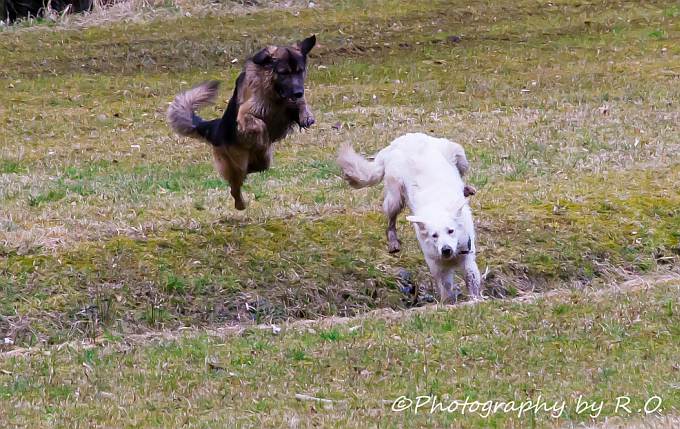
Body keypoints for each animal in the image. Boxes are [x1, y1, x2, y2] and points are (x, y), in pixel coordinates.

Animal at [170, 35, 318, 209]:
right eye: (283, 73)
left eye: (300, 71)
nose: (298, 92)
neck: (274, 94)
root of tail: (215, 128)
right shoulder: (244, 115)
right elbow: (259, 124)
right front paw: (263, 138)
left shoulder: (289, 107)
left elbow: (300, 105)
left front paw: (306, 115)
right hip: (234, 166)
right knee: (234, 187)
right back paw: (240, 204)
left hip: (264, 162)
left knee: (254, 169)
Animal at [338, 132, 480, 302]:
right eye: (434, 235)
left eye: (451, 231)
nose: (446, 250)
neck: (438, 206)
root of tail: (397, 142)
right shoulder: (436, 266)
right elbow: (445, 289)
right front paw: (448, 303)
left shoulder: (468, 256)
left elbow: (472, 280)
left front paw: (475, 300)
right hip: (396, 196)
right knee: (390, 222)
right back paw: (393, 242)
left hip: (459, 154)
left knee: (461, 172)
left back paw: (467, 188)